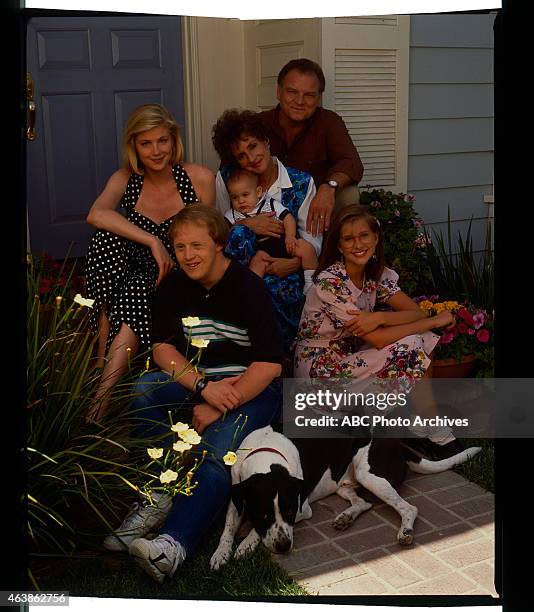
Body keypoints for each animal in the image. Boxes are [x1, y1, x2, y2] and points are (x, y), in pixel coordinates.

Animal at [210, 426, 482, 568]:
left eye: (289, 512)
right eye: (263, 514)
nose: (284, 547)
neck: (267, 455)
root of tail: (400, 446)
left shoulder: (302, 508)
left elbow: (255, 532)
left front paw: (245, 545)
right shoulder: (236, 496)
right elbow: (228, 527)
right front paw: (221, 553)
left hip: (369, 475)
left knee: (408, 508)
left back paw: (405, 531)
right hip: (346, 483)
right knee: (363, 502)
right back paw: (345, 518)